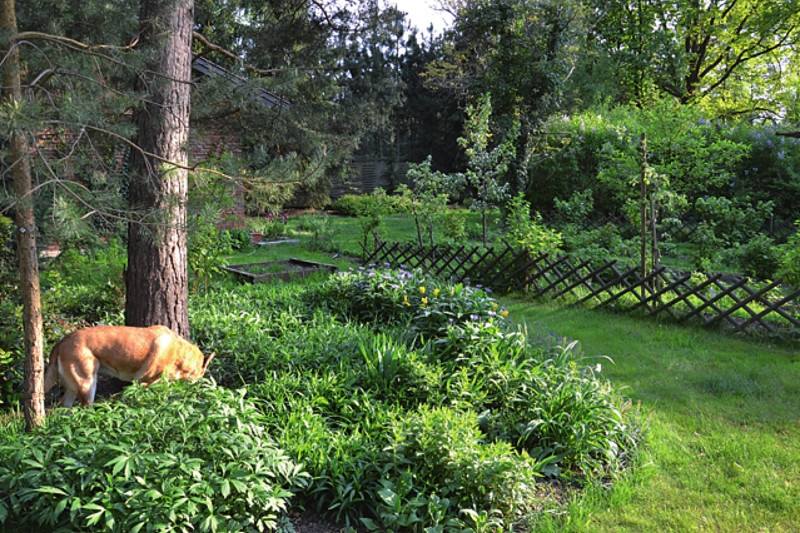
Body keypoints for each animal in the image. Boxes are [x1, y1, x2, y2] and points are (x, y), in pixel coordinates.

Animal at [43, 324, 212, 408]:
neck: (180, 355)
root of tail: (61, 342)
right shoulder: (144, 383)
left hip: (76, 387)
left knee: (65, 405)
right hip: (87, 386)